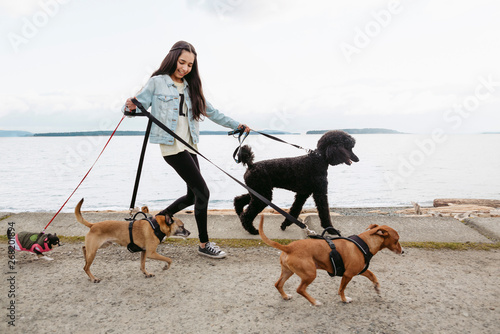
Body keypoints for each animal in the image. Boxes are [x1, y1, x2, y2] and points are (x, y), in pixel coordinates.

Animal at [258, 215, 402, 306]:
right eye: (396, 240)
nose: (403, 252)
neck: (365, 243)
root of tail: (289, 247)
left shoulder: (360, 270)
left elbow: (373, 276)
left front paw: (377, 288)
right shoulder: (348, 274)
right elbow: (341, 289)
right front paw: (344, 300)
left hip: (288, 271)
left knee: (278, 284)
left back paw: (285, 296)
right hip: (310, 274)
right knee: (300, 289)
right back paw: (315, 302)